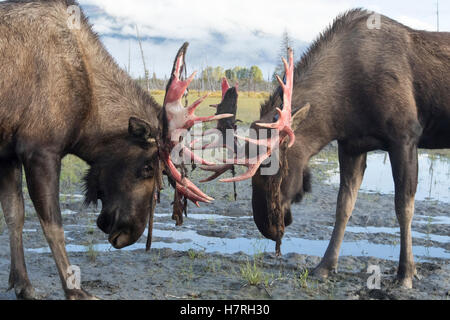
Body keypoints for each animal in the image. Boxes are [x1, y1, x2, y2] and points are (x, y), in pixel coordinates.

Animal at [0, 0, 229, 300]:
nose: (128, 235)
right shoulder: (39, 151)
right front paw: (75, 290)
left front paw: (23, 285)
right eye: (147, 167)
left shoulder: (8, 154)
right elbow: (53, 226)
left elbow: (14, 216)